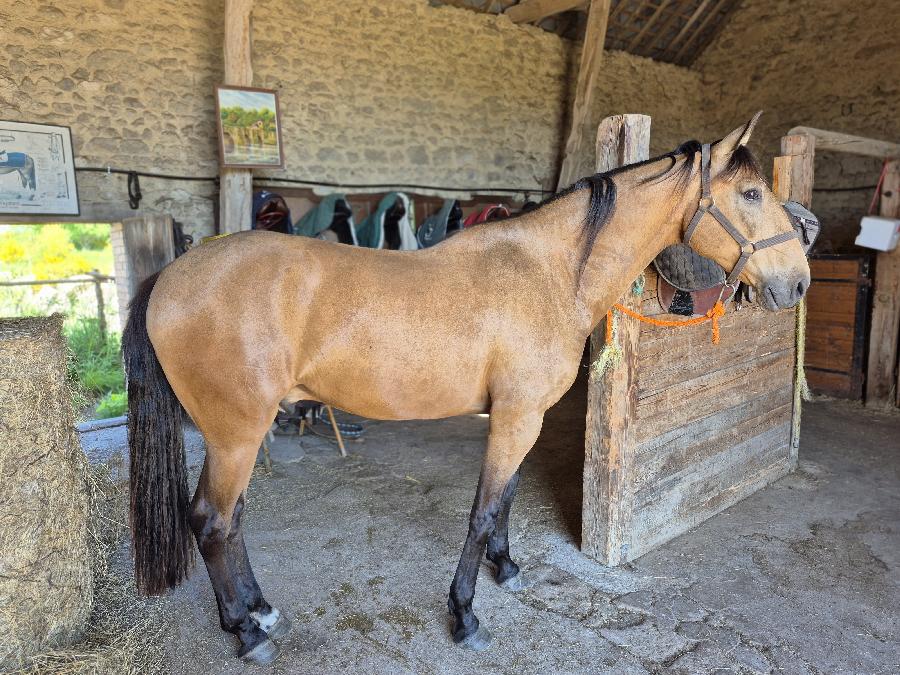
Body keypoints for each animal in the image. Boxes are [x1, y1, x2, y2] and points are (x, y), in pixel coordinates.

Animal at [122, 114, 811, 665]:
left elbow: (504, 500)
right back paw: (246, 633)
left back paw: (260, 611)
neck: (547, 272)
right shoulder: (515, 417)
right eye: (751, 193)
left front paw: (506, 569)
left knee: (231, 521)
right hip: (236, 433)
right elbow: (481, 511)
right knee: (212, 521)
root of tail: (172, 277)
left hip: (242, 432)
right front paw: (465, 615)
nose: (797, 283)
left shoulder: (523, 416)